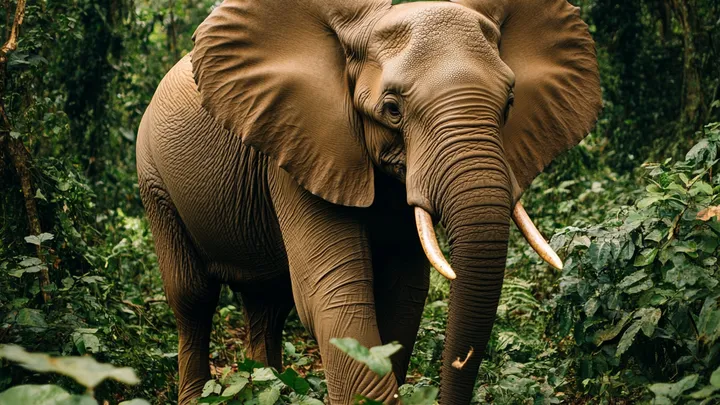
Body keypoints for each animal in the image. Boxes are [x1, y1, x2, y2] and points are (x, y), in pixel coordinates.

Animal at [136, 0, 601, 403]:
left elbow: (402, 294)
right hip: (153, 177)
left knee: (268, 303)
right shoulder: (299, 146)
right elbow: (332, 295)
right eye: (392, 109)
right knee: (193, 296)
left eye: (509, 104)